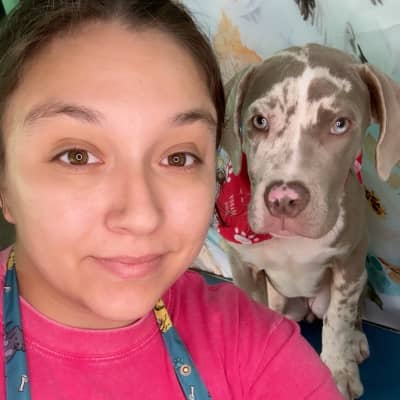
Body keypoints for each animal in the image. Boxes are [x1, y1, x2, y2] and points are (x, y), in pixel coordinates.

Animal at [210, 43, 400, 399]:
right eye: (259, 120)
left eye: (340, 123)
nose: (283, 199)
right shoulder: (243, 268)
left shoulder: (349, 263)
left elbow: (338, 322)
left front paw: (339, 371)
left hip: (360, 274)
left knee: (352, 312)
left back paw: (356, 341)